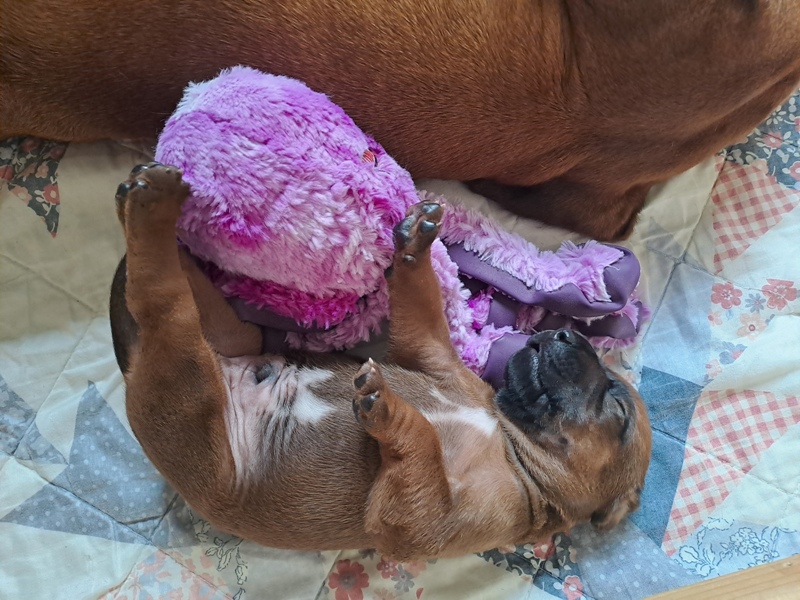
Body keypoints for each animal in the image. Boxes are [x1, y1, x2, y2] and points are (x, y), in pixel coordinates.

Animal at [108, 163, 652, 560]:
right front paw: (416, 243)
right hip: (227, 337)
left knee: (160, 304)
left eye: (618, 409)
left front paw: (387, 408)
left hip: (190, 398)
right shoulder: (431, 354)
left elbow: (423, 444)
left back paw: (150, 207)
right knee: (172, 293)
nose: (564, 333)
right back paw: (146, 204)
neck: (509, 438)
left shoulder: (419, 526)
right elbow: (424, 303)